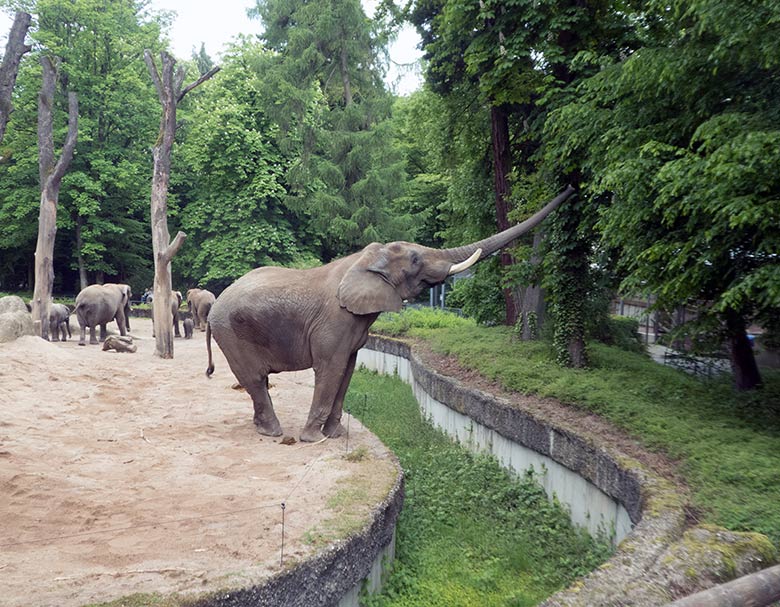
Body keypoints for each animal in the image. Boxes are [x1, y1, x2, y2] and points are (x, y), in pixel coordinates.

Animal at [204, 185, 576, 442]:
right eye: (415, 259)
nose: (571, 186)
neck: (363, 260)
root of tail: (214, 306)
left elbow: (347, 370)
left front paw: (335, 436)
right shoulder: (334, 321)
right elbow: (330, 369)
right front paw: (313, 439)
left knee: (257, 381)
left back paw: (263, 429)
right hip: (231, 332)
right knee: (254, 379)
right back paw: (274, 433)